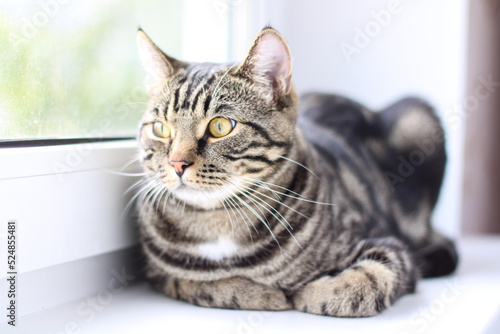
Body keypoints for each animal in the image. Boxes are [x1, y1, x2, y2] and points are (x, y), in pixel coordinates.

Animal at [133, 27, 458, 318]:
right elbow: (202, 284)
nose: (177, 163)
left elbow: (366, 282)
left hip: (418, 117)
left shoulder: (388, 246)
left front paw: (309, 292)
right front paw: (262, 293)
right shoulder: (161, 273)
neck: (218, 225)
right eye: (161, 129)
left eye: (221, 126)